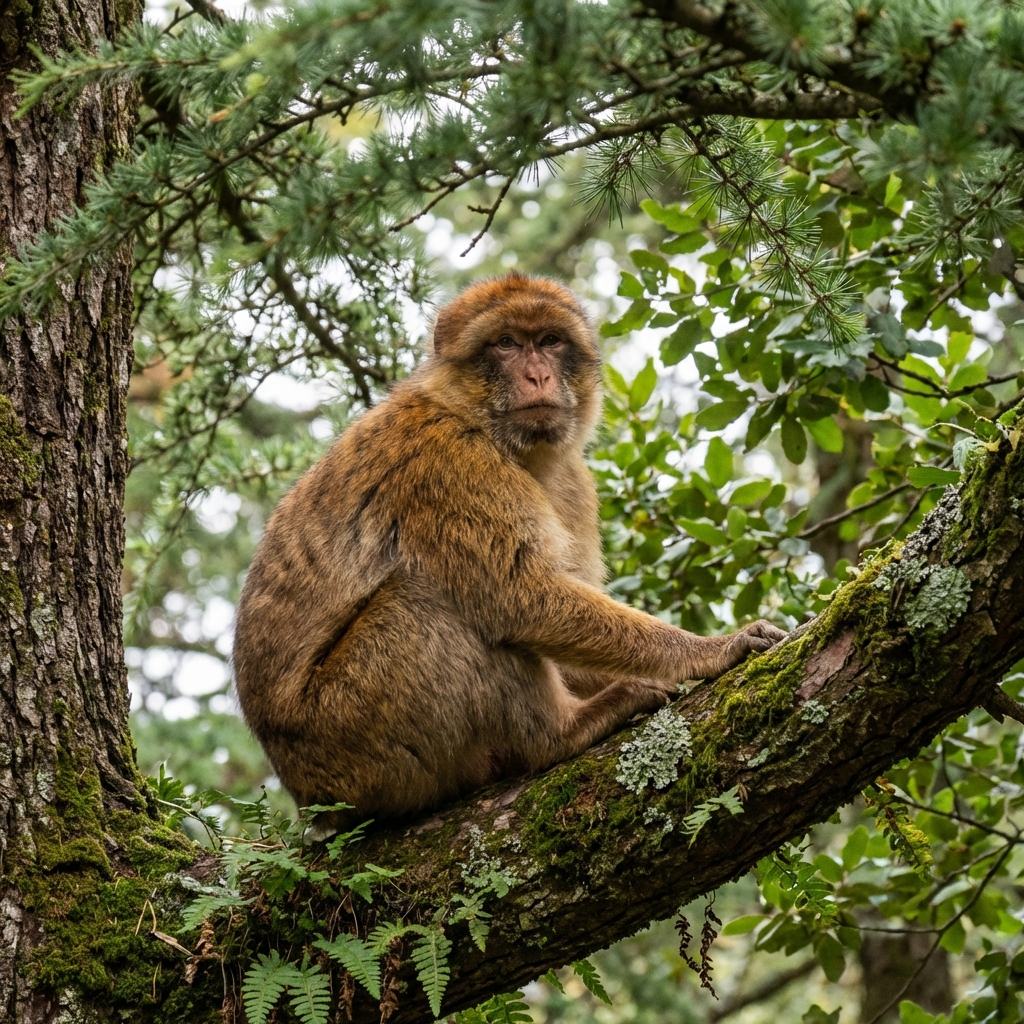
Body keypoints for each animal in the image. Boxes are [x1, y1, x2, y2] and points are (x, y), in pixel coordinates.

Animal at [232, 272, 786, 825]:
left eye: (550, 341)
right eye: (505, 343)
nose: (537, 375)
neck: (488, 431)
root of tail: (309, 798)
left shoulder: (573, 479)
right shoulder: (448, 464)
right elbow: (520, 598)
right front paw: (712, 651)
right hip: (353, 741)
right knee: (430, 600)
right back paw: (558, 735)